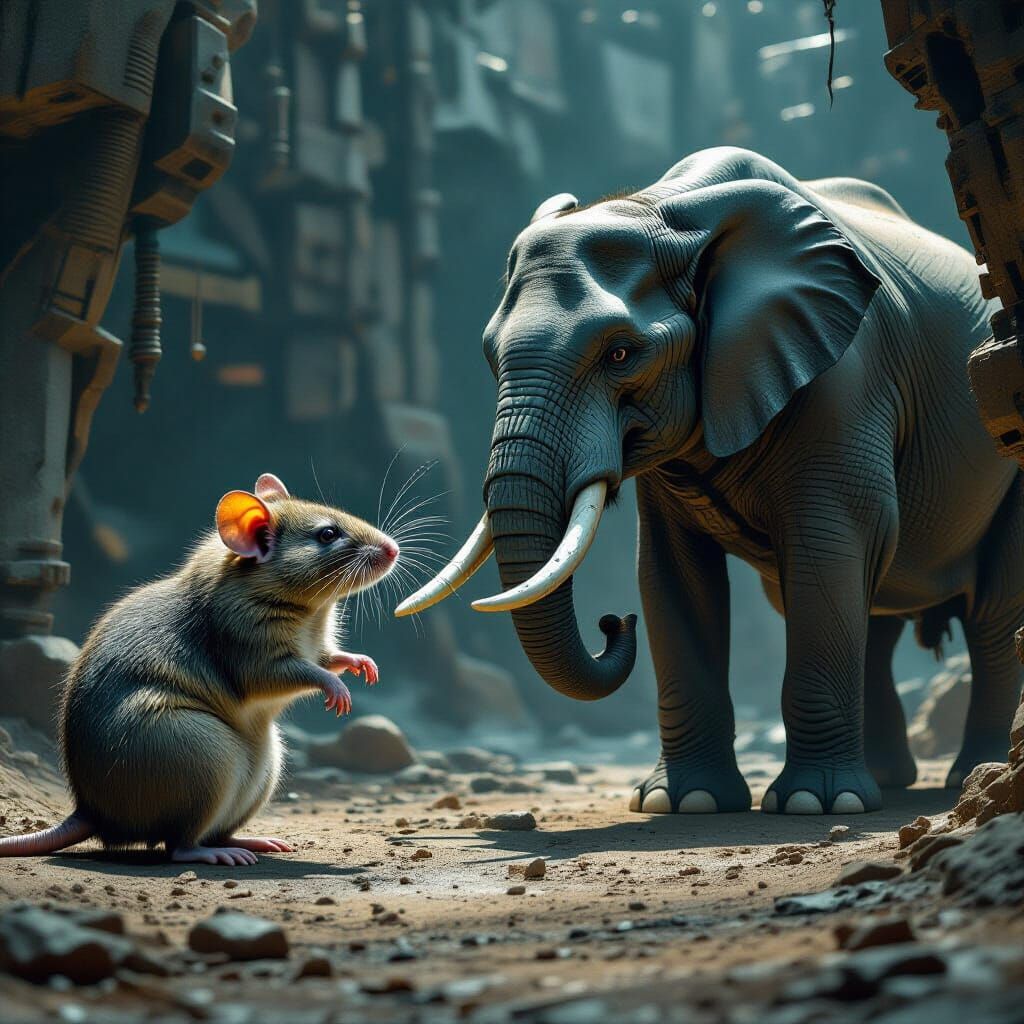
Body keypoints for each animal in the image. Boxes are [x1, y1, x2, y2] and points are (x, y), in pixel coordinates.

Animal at [396, 147, 1024, 816]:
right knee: (877, 620)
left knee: (989, 615)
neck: (667, 208)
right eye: (490, 357)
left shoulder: (845, 379)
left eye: (621, 354)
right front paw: (681, 802)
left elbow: (829, 549)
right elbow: (671, 574)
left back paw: (965, 774)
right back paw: (886, 782)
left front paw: (811, 805)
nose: (613, 622)